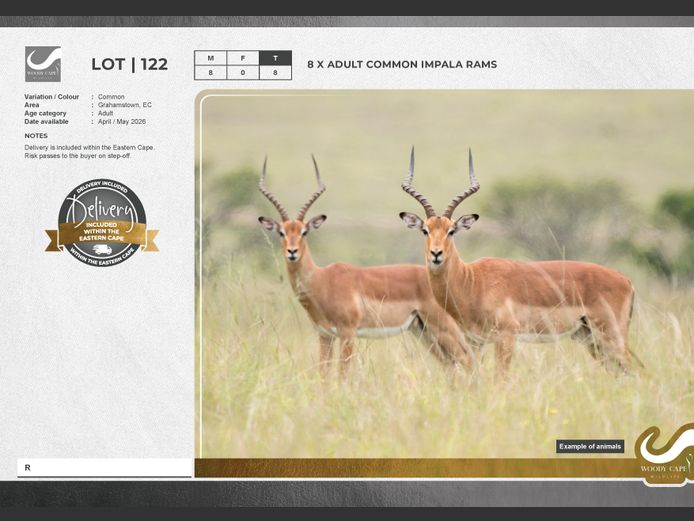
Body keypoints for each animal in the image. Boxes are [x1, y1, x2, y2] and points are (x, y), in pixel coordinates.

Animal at [257, 155, 473, 377]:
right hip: (422, 331)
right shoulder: (324, 334)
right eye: (281, 232)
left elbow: (343, 373)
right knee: (450, 365)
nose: (292, 252)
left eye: (304, 232)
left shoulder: (347, 333)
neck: (322, 280)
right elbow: (323, 373)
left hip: (443, 328)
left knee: (467, 359)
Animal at [398, 147, 636, 377]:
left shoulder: (506, 336)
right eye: (425, 230)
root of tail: (626, 280)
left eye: (451, 231)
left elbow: (500, 379)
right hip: (589, 338)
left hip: (611, 335)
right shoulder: (475, 341)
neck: (473, 282)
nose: (436, 253)